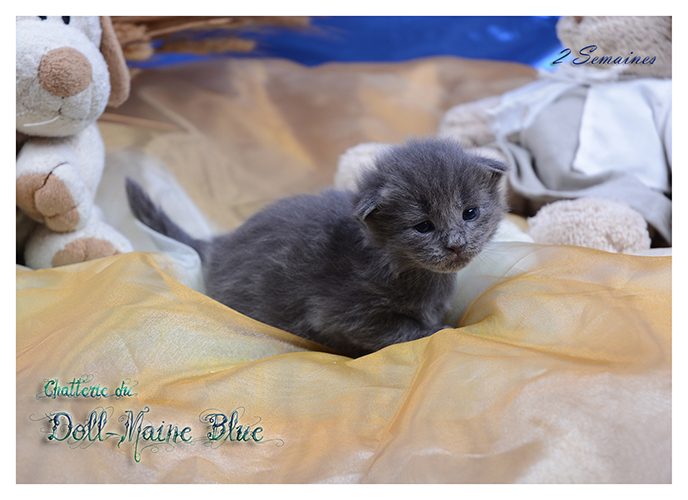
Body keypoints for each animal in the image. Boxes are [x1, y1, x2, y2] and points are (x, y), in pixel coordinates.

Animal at [125, 137, 509, 357]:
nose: (456, 245)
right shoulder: (340, 314)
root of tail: (218, 245)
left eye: (470, 213)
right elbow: (399, 331)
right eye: (423, 226)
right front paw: (442, 332)